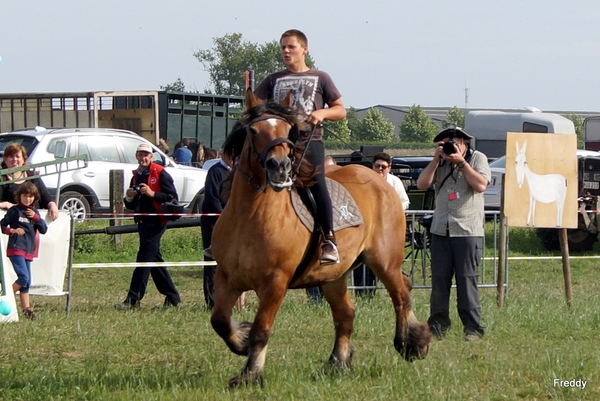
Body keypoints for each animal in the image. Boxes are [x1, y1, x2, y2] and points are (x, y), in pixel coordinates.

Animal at [211, 90, 432, 388]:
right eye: (254, 131)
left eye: (288, 131)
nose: (280, 167)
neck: (251, 215)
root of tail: (380, 180)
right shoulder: (226, 277)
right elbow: (220, 320)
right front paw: (242, 340)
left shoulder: (275, 283)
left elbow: (262, 329)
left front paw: (250, 375)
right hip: (333, 276)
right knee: (345, 314)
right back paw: (337, 363)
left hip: (384, 261)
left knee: (402, 292)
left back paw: (412, 342)